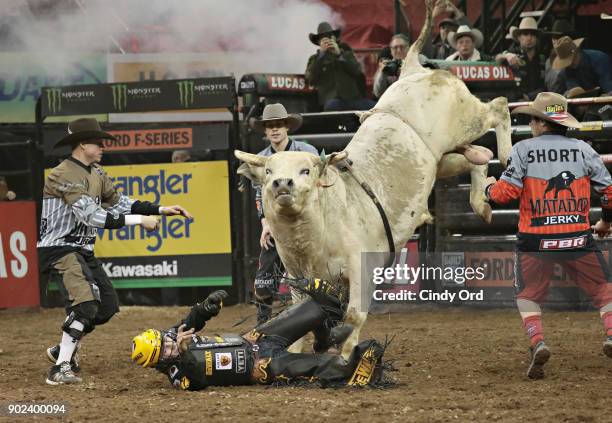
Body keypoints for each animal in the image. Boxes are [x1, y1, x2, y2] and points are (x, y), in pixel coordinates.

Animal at [237, 0, 512, 358]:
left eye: (306, 171)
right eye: (268, 171)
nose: (282, 185)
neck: (311, 236)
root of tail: (412, 69)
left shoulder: (359, 268)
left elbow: (353, 315)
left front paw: (344, 356)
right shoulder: (298, 279)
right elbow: (298, 322)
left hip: (467, 119)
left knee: (499, 108)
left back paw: (506, 154)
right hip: (442, 160)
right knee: (477, 156)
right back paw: (481, 203)